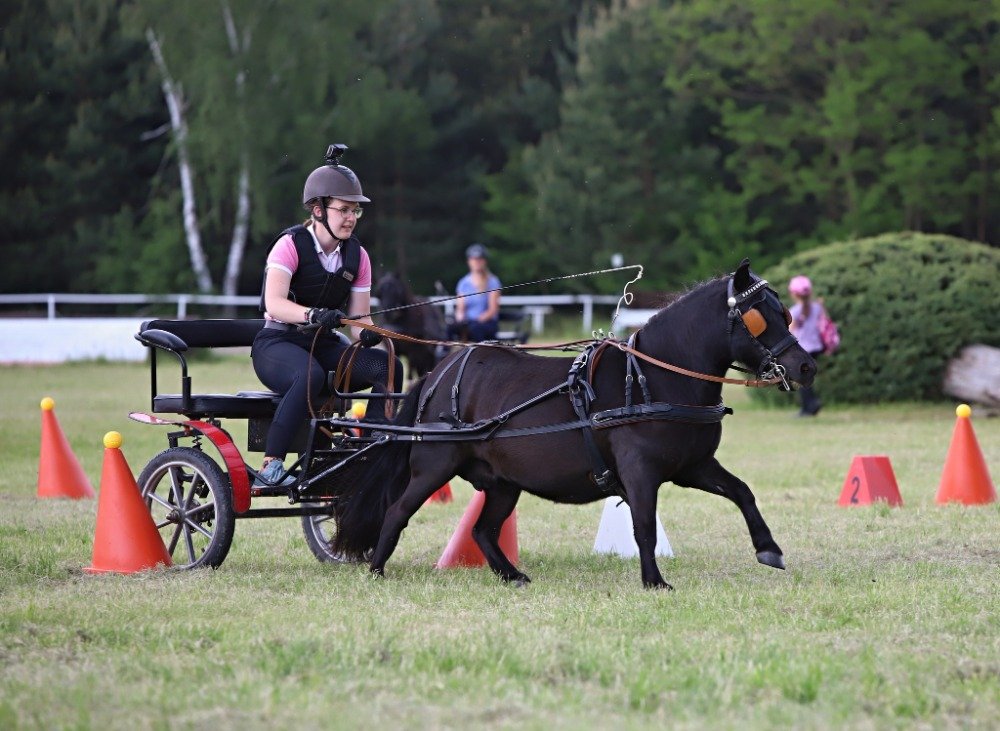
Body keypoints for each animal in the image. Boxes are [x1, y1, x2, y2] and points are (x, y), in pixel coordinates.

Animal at [334, 264, 812, 588]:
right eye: (758, 316)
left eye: (785, 312)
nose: (805, 366)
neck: (652, 377)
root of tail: (438, 374)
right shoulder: (640, 471)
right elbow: (644, 525)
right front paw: (655, 581)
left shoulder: (692, 465)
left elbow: (742, 492)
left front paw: (769, 549)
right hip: (434, 466)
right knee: (398, 510)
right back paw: (376, 570)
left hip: (503, 483)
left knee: (483, 530)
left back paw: (512, 575)